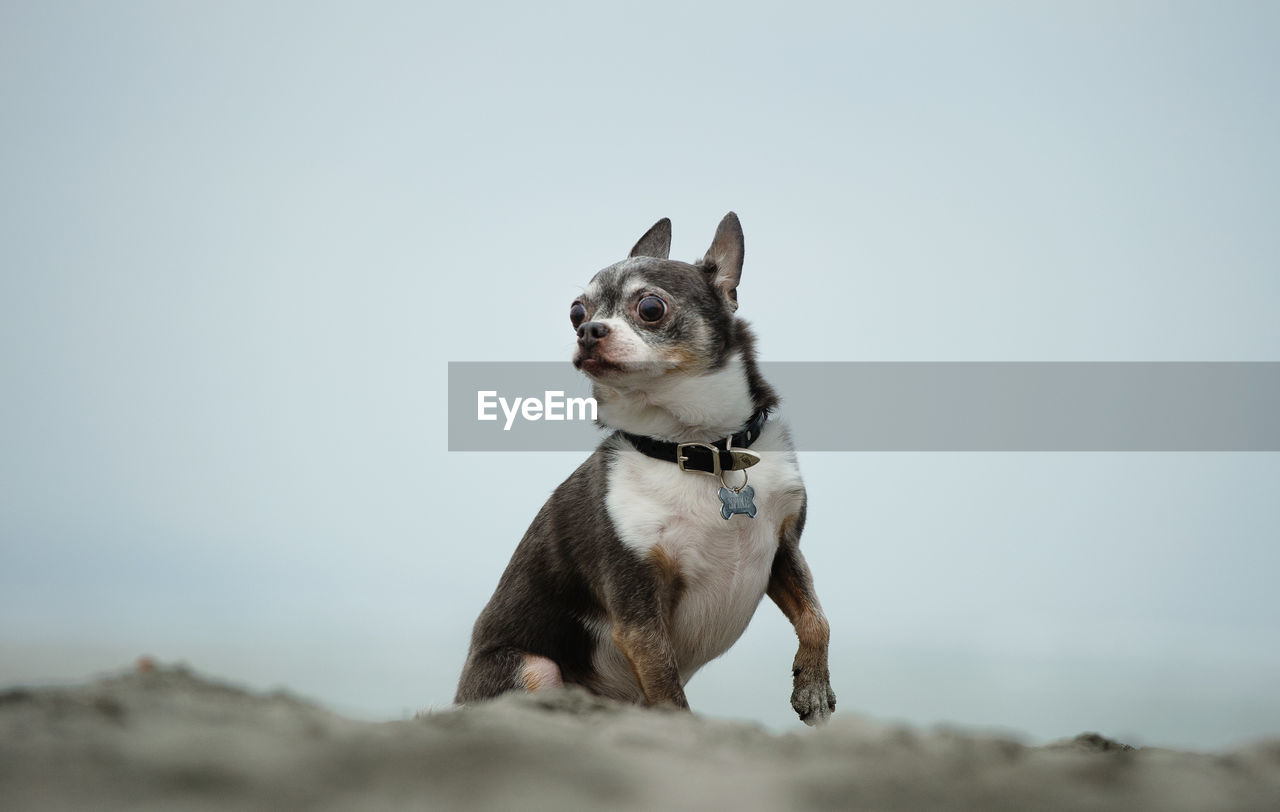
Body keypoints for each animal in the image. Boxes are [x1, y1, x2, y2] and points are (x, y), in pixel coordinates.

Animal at [455, 213, 834, 722]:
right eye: (576, 312)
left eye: (650, 307)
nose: (588, 330)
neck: (702, 452)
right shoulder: (638, 615)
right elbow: (670, 695)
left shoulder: (783, 549)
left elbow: (817, 617)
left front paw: (813, 685)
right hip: (534, 668)